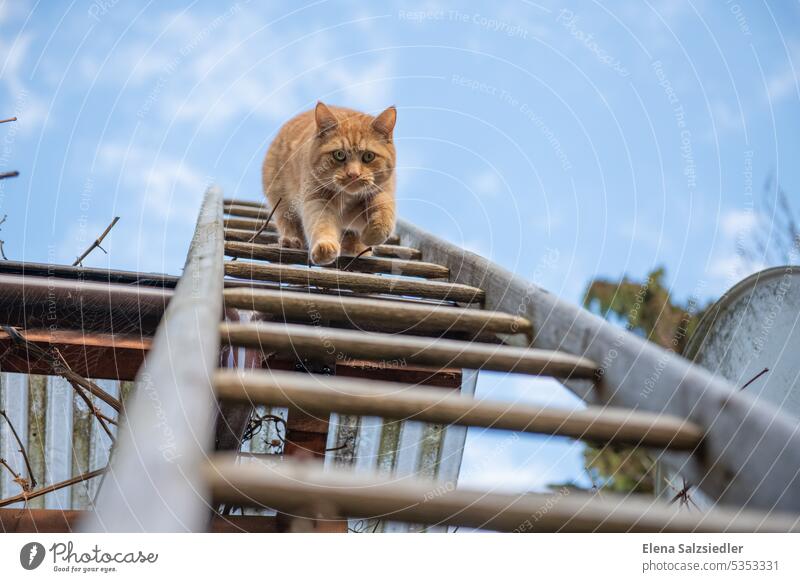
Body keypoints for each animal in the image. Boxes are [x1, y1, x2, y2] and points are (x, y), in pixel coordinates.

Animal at [262, 101, 396, 266]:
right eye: (339, 154)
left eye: (368, 156)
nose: (353, 174)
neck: (347, 198)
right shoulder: (317, 200)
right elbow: (322, 224)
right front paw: (325, 246)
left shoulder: (381, 192)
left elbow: (384, 214)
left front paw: (370, 236)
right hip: (282, 202)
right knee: (288, 224)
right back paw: (291, 241)